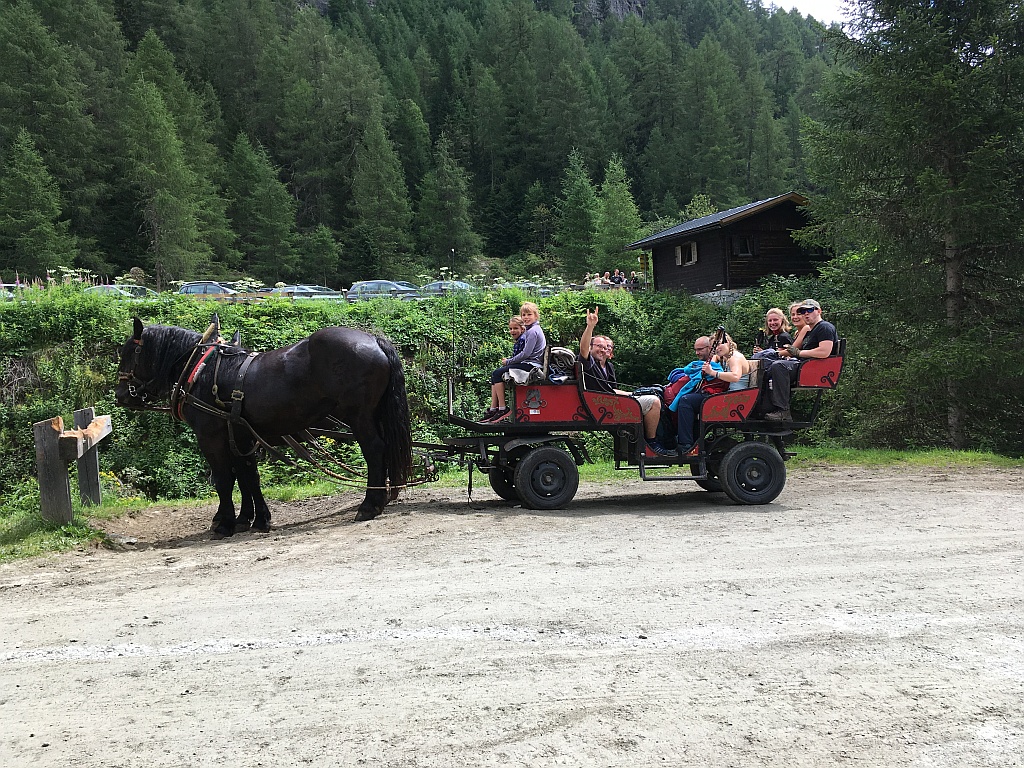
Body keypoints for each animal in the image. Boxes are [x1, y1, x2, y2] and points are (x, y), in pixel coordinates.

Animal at [115, 318, 413, 537]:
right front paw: (253, 519)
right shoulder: (240, 435)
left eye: (129, 353)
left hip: (358, 416)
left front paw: (225, 523)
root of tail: (374, 339)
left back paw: (369, 505)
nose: (120, 395)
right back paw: (383, 497)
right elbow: (248, 477)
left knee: (374, 450)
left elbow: (224, 480)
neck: (202, 371)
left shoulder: (211, 438)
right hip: (374, 414)